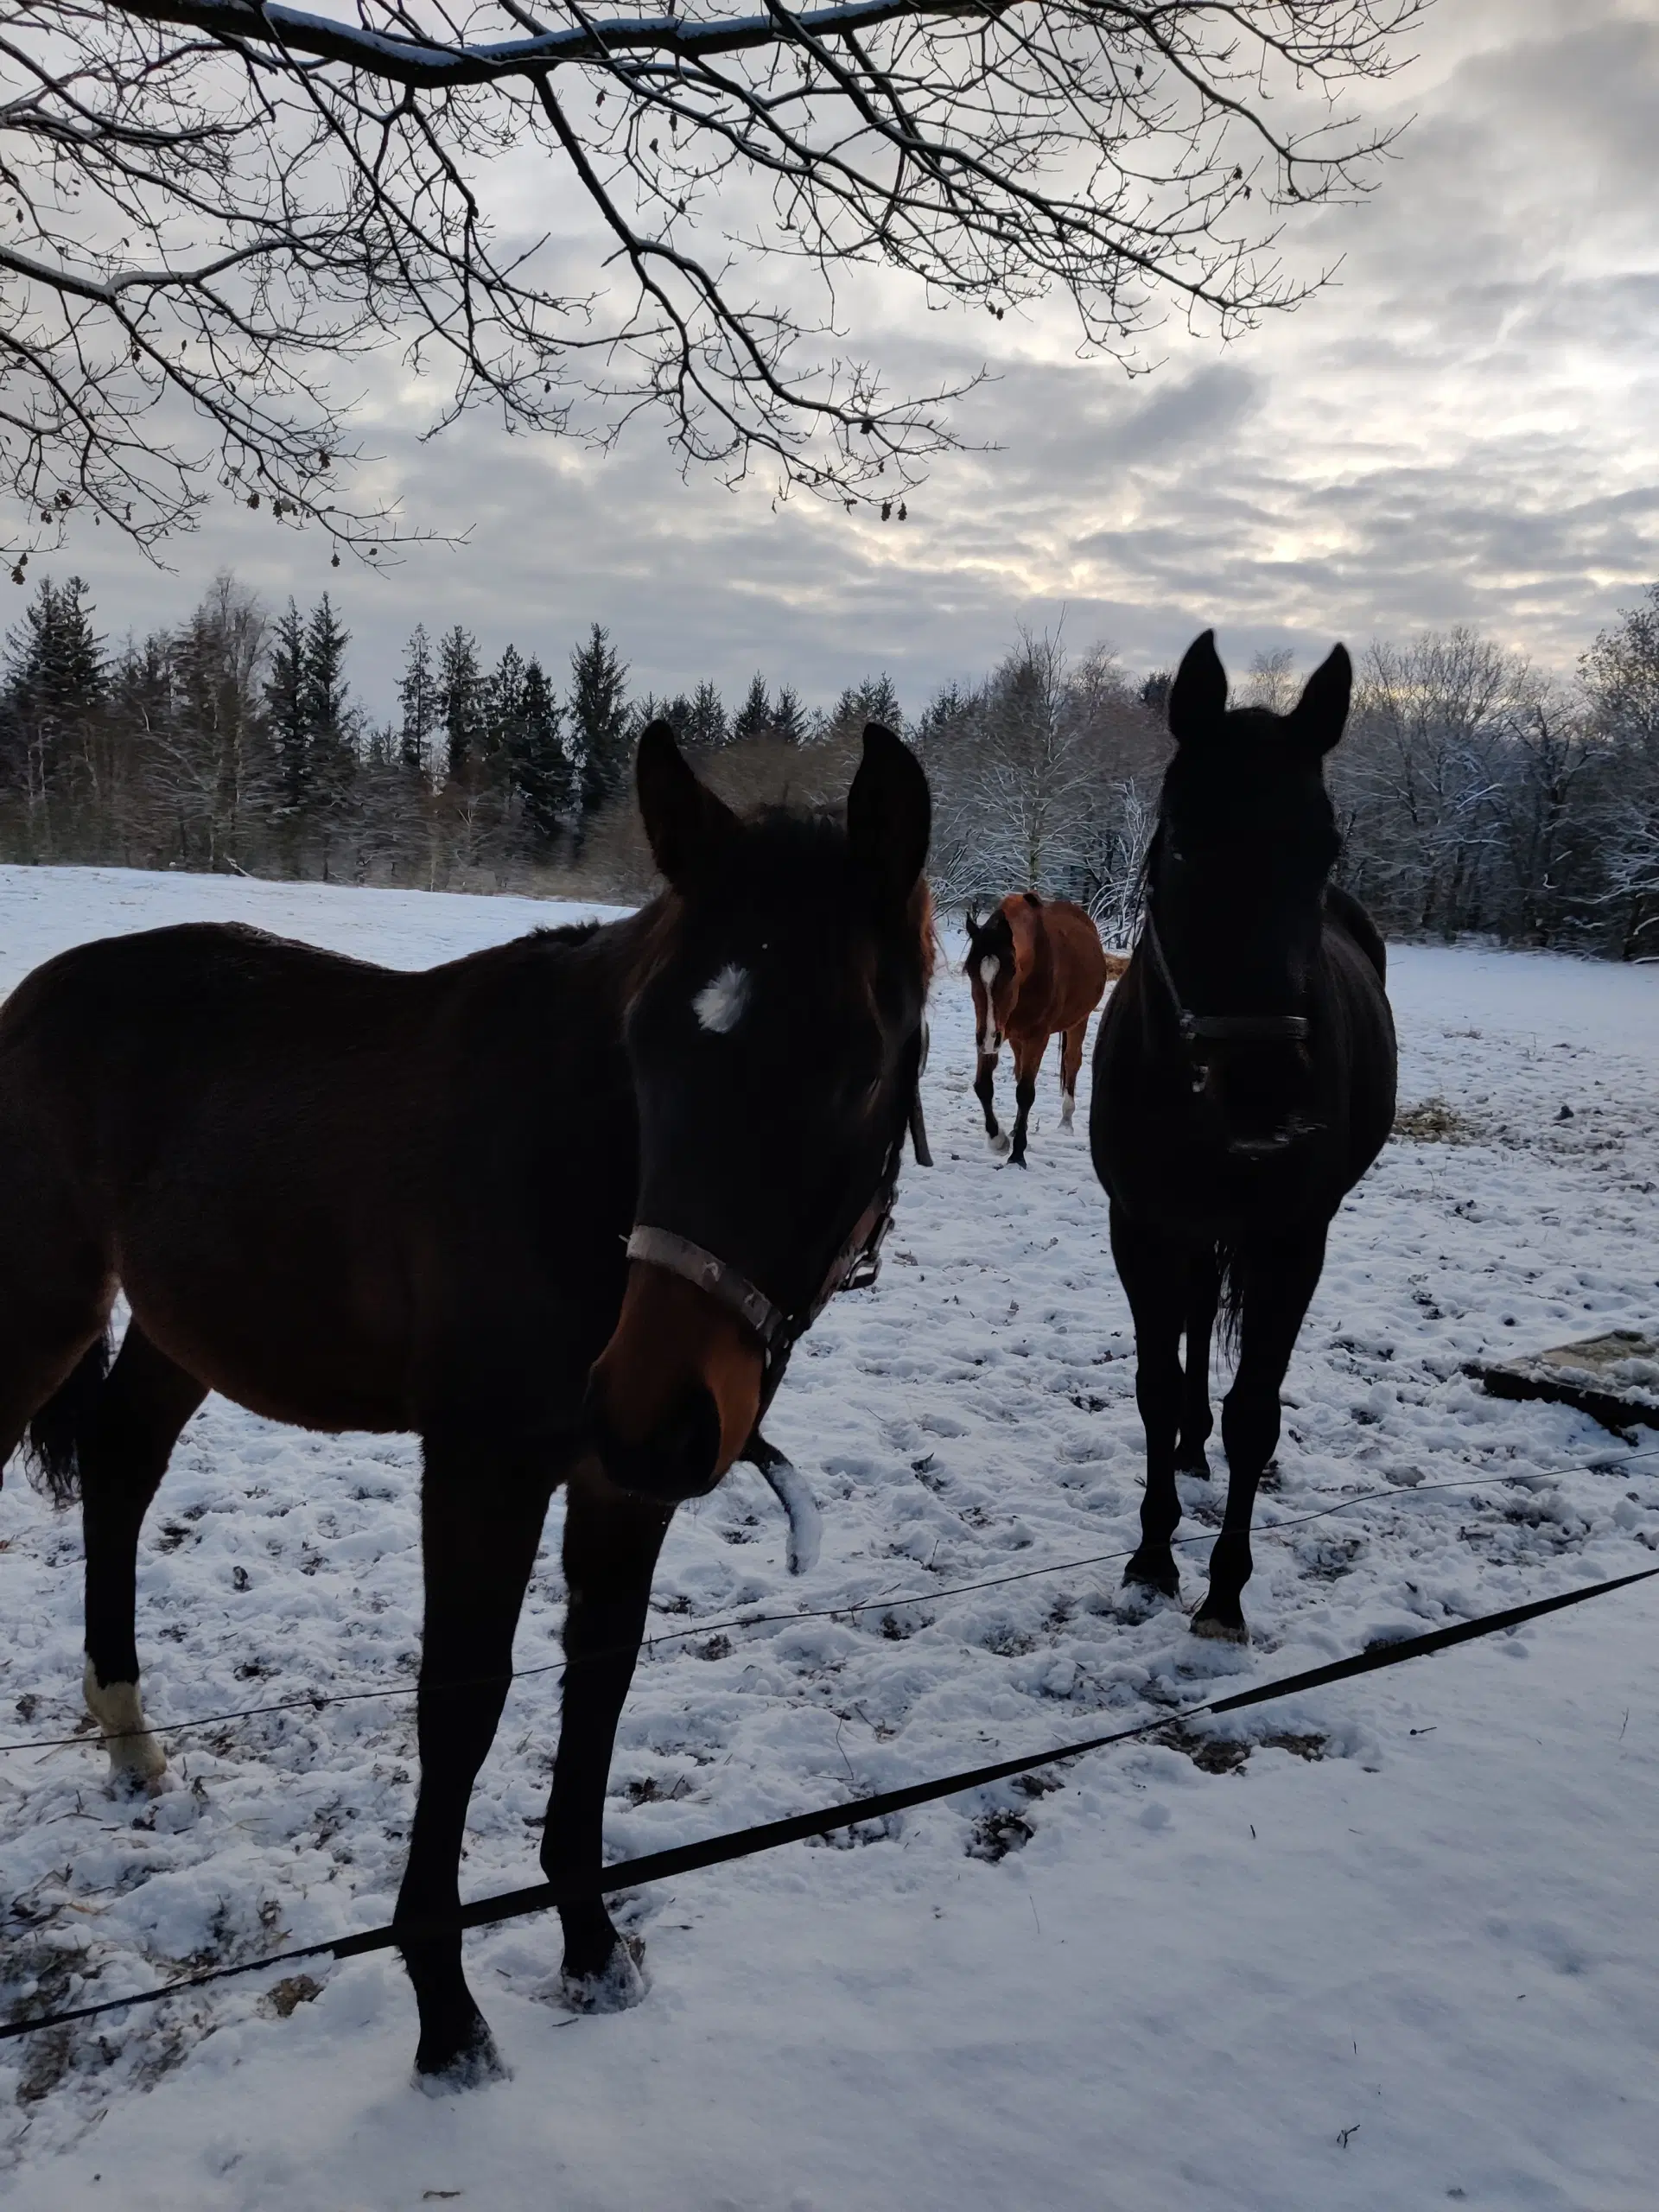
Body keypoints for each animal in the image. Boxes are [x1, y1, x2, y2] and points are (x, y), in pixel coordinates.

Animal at [0, 729, 938, 2088]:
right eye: (647, 1049)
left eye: (857, 1065)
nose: (652, 1403)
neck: (575, 1172)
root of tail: (33, 998)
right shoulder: (484, 1466)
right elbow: (465, 1702)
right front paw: (447, 2014)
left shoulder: (620, 1486)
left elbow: (597, 1684)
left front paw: (592, 1948)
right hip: (38, 1306)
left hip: (185, 1327)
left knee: (123, 1466)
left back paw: (127, 1729)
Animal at [960, 889, 1119, 1167]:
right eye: (969, 971)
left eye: (1012, 971)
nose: (989, 1037)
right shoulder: (992, 1033)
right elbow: (984, 1086)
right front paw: (999, 1140)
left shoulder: (1036, 1036)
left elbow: (1025, 1093)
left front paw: (1017, 1155)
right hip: (1013, 1038)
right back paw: (1015, 1129)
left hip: (1079, 1021)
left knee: (1072, 1063)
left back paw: (1066, 1122)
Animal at [1096, 637, 1397, 1645]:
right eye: (1186, 840)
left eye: (1324, 847)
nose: (1267, 1088)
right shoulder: (1143, 1227)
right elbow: (1155, 1386)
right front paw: (1153, 1557)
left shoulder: (1292, 1241)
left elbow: (1256, 1408)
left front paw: (1225, 1592)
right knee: (1194, 1327)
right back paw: (1190, 1450)